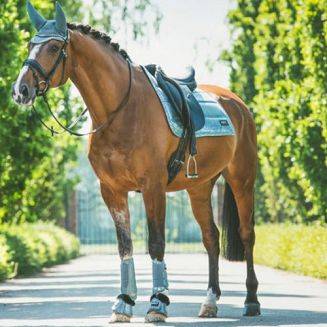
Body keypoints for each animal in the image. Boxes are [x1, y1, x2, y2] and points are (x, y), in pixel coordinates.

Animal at [12, 2, 262, 324]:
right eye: (29, 45)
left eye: (54, 47)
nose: (21, 90)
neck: (121, 110)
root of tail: (238, 104)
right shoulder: (112, 190)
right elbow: (125, 246)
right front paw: (124, 303)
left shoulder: (153, 187)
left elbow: (156, 243)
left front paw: (158, 303)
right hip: (200, 188)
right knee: (211, 238)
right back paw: (209, 301)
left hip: (242, 180)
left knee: (246, 234)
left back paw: (251, 301)